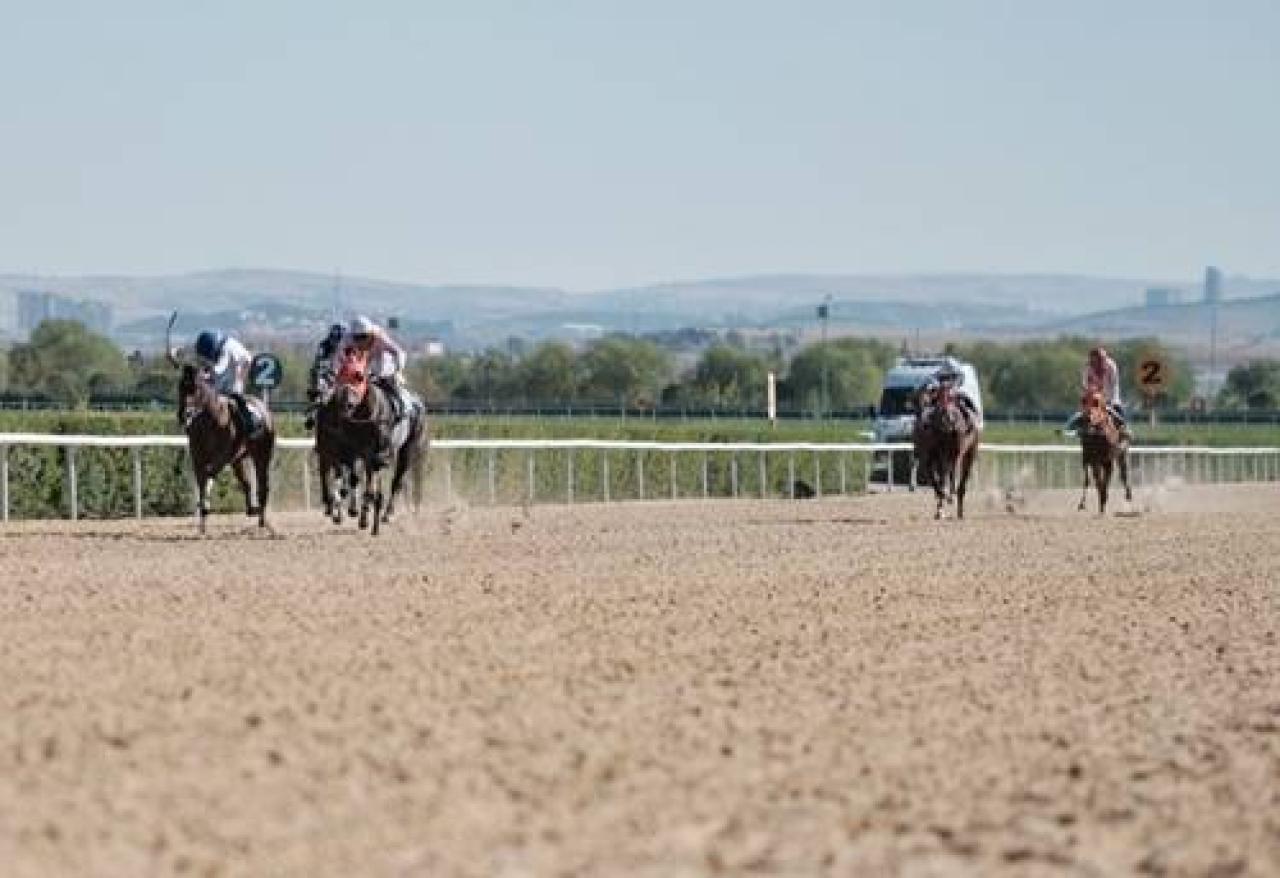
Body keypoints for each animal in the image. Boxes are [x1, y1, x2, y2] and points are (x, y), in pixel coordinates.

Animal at [325, 349, 427, 535]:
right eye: (340, 375)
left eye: (359, 376)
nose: (345, 403)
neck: (366, 416)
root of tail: (418, 402)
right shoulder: (354, 452)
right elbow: (354, 479)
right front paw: (355, 512)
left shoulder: (376, 454)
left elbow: (370, 486)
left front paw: (366, 517)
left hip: (407, 450)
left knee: (396, 481)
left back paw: (387, 514)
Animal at [913, 386, 981, 519]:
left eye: (951, 398)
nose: (948, 419)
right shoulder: (933, 454)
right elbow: (938, 479)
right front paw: (941, 504)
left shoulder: (956, 450)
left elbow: (949, 473)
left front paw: (948, 497)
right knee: (943, 475)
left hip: (969, 452)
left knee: (960, 477)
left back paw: (957, 507)